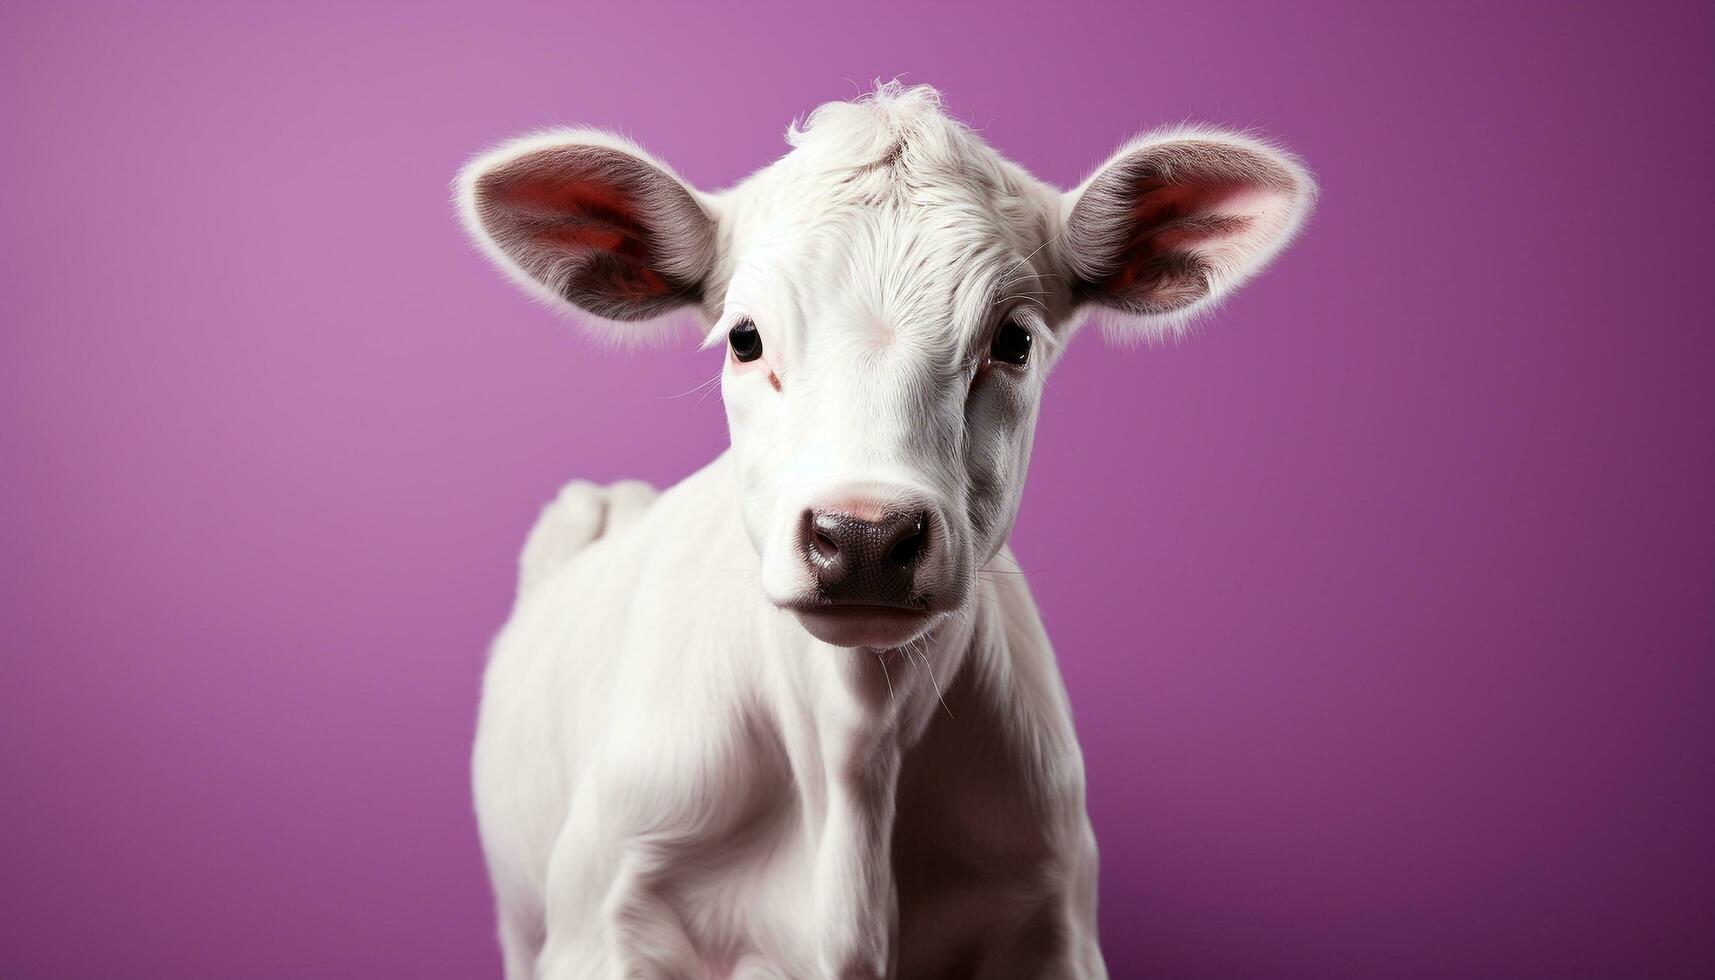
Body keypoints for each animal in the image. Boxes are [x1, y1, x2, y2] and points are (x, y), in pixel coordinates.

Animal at [456, 86, 1310, 980]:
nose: (862, 536)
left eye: (1013, 339)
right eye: (745, 336)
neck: (855, 750)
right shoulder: (603, 926)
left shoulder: (1053, 927)